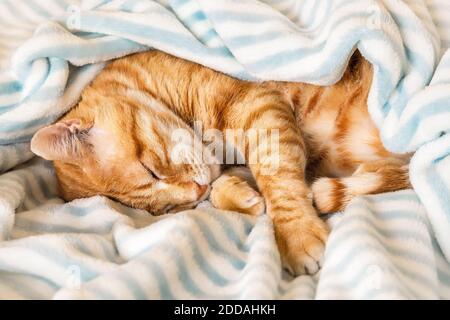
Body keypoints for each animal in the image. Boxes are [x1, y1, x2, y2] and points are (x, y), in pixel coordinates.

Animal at [29, 50, 412, 276]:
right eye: (165, 211)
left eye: (152, 169)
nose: (195, 190)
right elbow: (238, 187)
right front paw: (241, 198)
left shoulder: (259, 108)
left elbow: (279, 180)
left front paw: (297, 234)